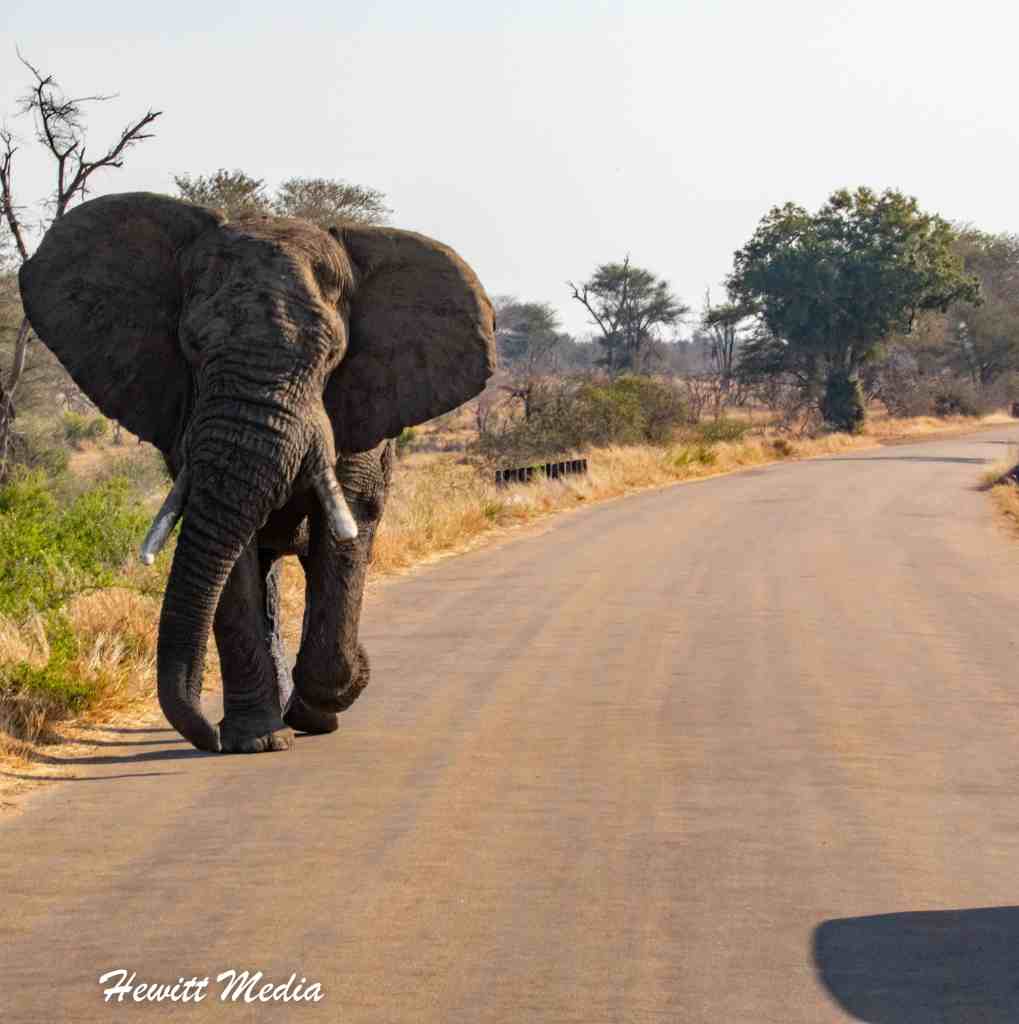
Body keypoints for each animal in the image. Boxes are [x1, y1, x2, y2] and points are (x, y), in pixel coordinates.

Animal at [18, 192, 495, 753]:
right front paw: (257, 740)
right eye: (193, 348)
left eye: (329, 355)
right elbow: (231, 557)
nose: (207, 734)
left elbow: (347, 530)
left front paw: (331, 696)